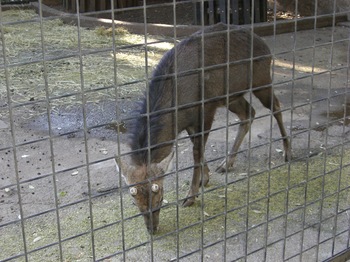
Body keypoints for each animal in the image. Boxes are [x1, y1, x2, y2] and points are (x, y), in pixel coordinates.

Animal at [115, 22, 290, 233]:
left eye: (160, 193)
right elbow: (197, 148)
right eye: (134, 200)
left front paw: (191, 196)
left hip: (261, 79)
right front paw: (204, 179)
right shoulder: (190, 122)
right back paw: (226, 163)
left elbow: (197, 153)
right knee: (249, 113)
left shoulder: (206, 110)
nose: (152, 228)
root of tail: (265, 46)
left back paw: (288, 152)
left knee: (276, 107)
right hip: (232, 96)